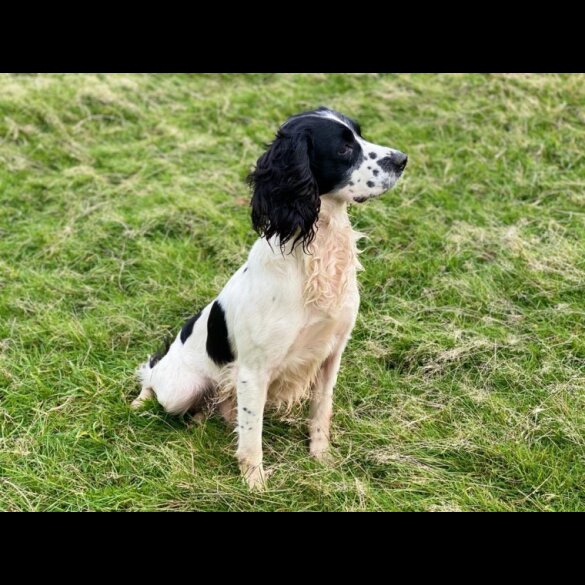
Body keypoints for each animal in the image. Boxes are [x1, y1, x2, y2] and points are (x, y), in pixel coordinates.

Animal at [132, 106, 406, 488]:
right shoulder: (253, 371)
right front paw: (255, 484)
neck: (314, 252)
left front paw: (322, 459)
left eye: (360, 134)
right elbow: (251, 435)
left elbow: (322, 410)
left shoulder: (331, 352)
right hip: (181, 388)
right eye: (343, 149)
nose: (403, 159)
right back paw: (141, 401)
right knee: (153, 377)